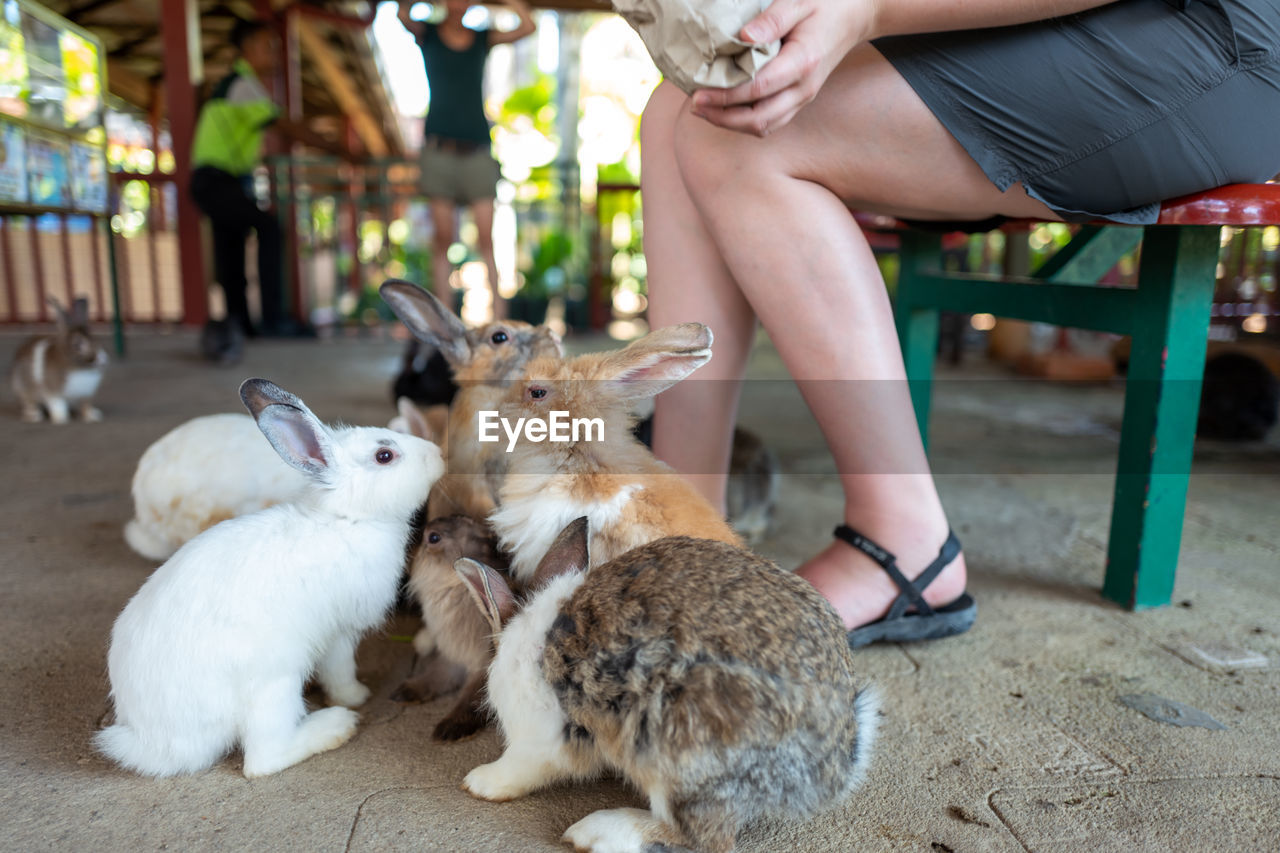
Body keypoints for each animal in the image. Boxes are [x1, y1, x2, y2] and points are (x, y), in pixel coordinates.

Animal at [96, 379, 445, 778]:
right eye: (384, 455)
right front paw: (356, 695)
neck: (347, 517)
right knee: (262, 760)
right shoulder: (338, 632)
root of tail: (154, 744)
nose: (438, 453)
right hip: (273, 686)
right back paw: (336, 725)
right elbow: (340, 669)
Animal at [389, 512, 514, 737]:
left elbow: (471, 698)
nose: (407, 552)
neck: (455, 585)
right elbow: (434, 676)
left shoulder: (483, 666)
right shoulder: (452, 660)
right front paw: (404, 693)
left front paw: (449, 729)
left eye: (433, 538)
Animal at [453, 514, 880, 850]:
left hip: (675, 756)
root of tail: (834, 765)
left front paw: (480, 783)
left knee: (702, 839)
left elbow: (520, 767)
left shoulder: (539, 741)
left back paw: (596, 832)